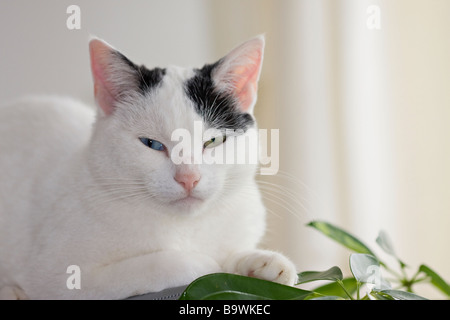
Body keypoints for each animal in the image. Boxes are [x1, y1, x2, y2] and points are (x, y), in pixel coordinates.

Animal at [0, 35, 298, 300]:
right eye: (152, 144)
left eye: (213, 141)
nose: (188, 178)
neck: (185, 227)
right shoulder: (58, 276)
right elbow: (161, 264)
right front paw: (204, 264)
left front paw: (260, 263)